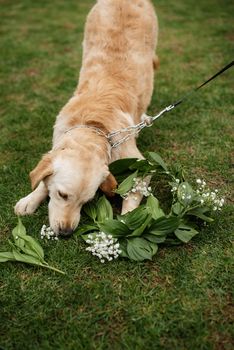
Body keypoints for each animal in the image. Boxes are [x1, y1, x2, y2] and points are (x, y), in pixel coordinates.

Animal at [14, 0, 159, 237]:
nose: (66, 232)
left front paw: (126, 223)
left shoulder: (143, 165)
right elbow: (43, 180)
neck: (93, 126)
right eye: (62, 195)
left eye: (87, 201)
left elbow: (133, 195)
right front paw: (30, 200)